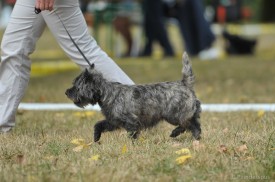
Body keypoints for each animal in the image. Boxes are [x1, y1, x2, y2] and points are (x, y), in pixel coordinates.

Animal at [66, 52, 202, 142]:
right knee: (195, 123)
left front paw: (132, 145)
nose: (67, 92)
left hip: (174, 115)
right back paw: (196, 137)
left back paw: (179, 134)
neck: (107, 93)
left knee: (188, 124)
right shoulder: (113, 121)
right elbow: (98, 125)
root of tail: (184, 83)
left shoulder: (131, 122)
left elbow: (132, 135)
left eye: (76, 86)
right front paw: (96, 137)